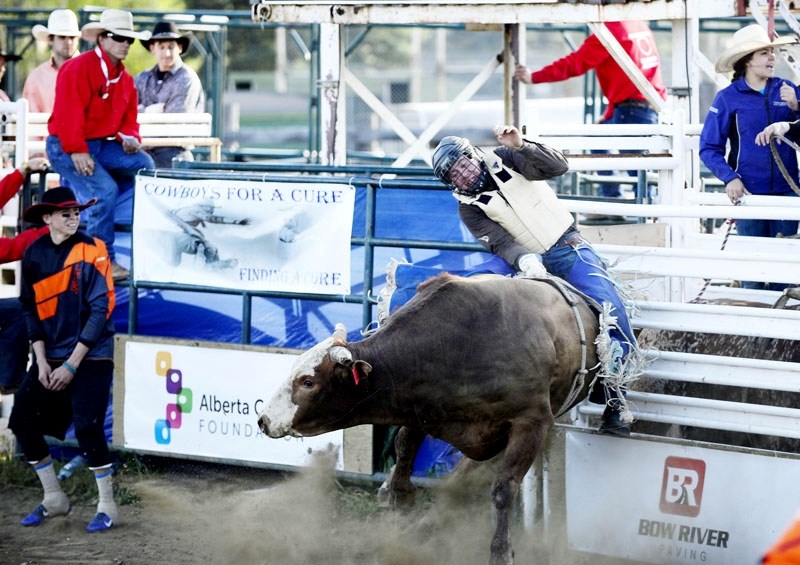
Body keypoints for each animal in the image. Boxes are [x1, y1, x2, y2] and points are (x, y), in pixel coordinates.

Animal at [260, 274, 604, 564]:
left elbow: (503, 489)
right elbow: (404, 446)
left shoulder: (531, 422)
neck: (459, 344)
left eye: (308, 382)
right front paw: (399, 498)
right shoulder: (419, 406)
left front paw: (500, 552)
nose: (263, 419)